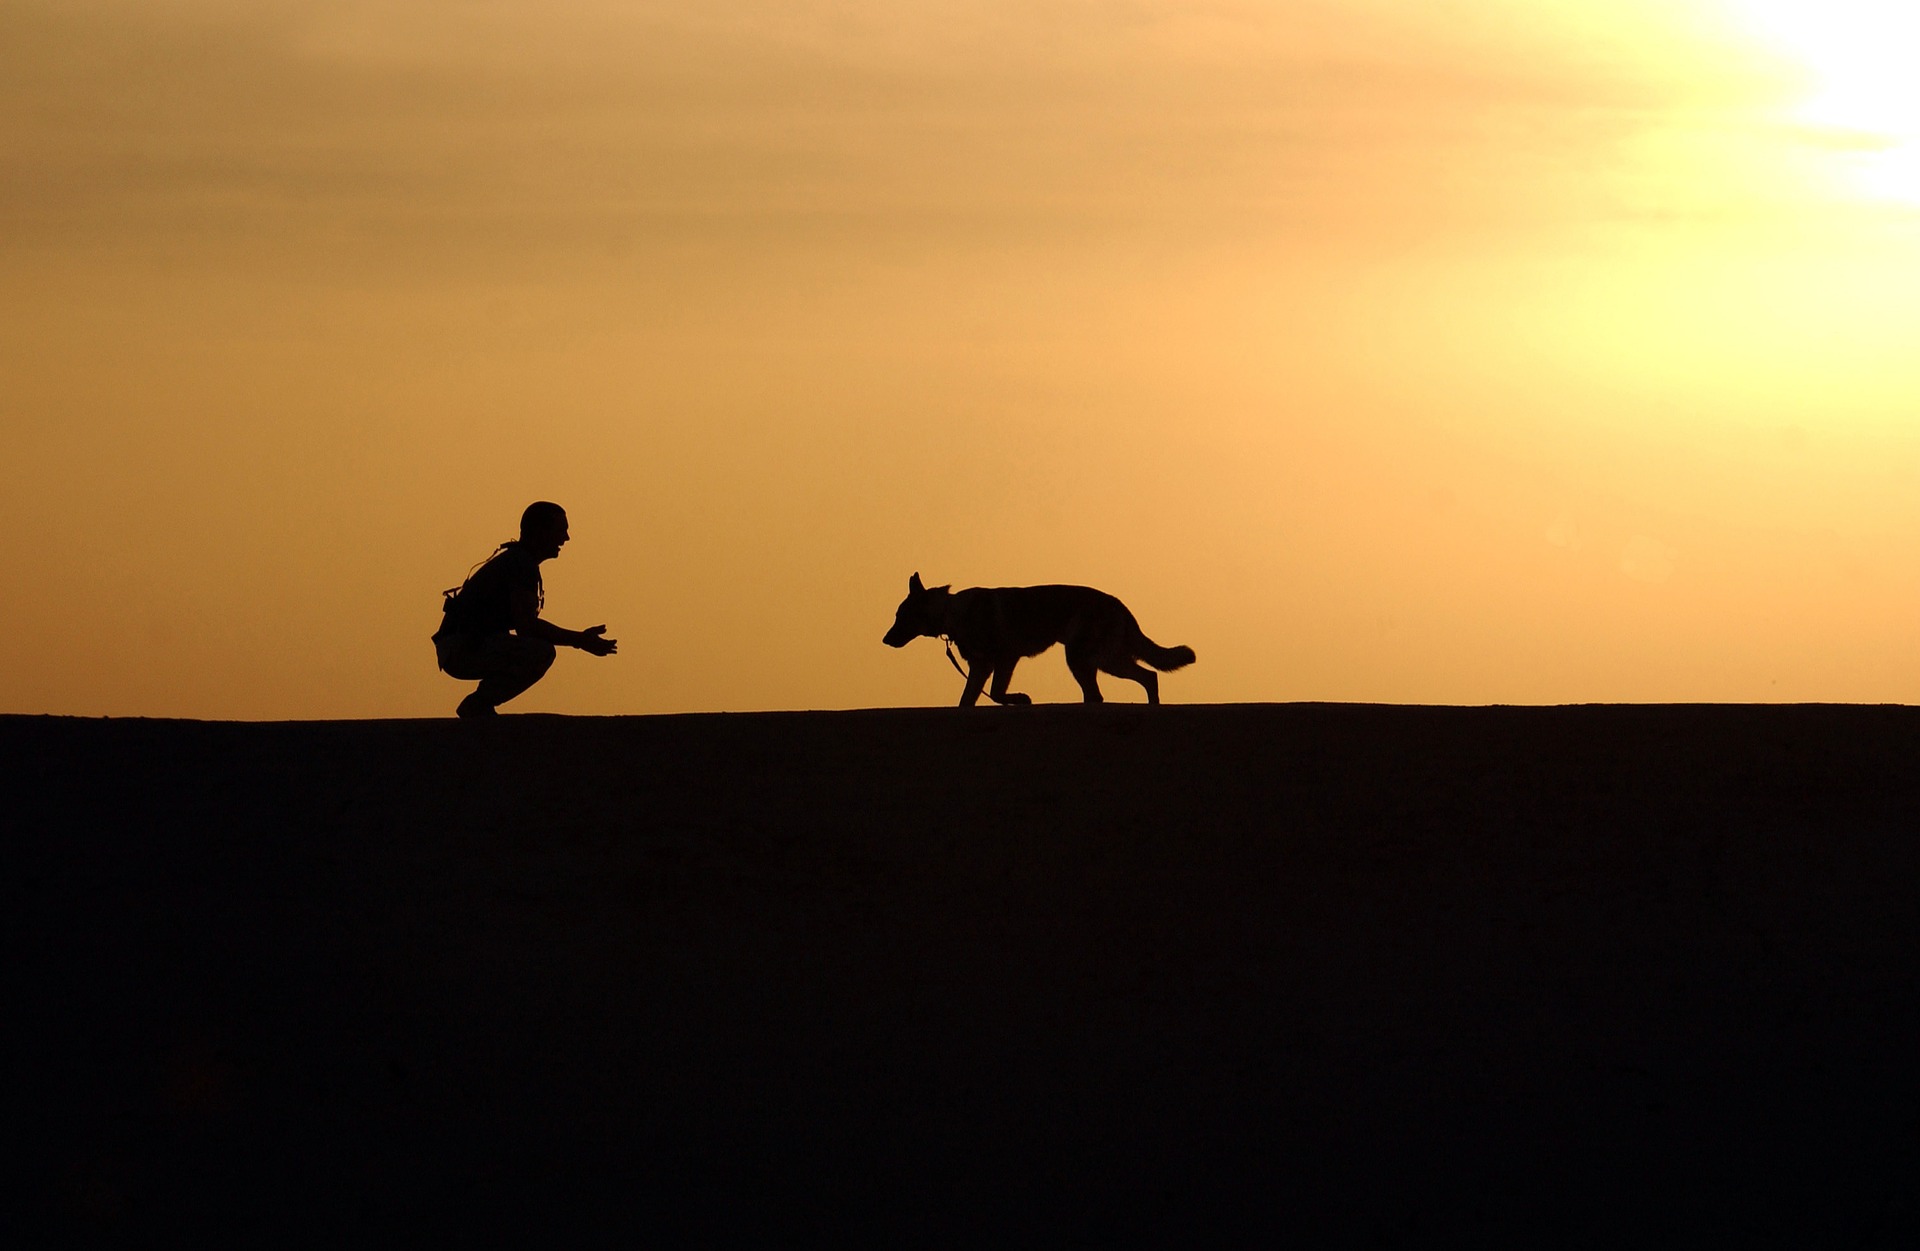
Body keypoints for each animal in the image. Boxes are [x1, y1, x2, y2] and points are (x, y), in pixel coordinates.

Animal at [887, 575, 1198, 709]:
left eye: (900, 616)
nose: (885, 639)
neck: (949, 611)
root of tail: (1119, 604)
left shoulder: (1002, 660)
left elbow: (996, 693)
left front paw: (1020, 699)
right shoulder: (980, 668)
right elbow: (967, 700)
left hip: (1091, 659)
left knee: (1144, 678)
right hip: (1094, 660)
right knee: (1137, 680)